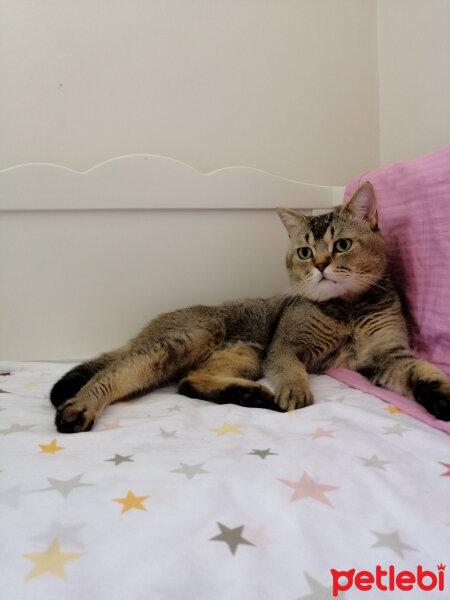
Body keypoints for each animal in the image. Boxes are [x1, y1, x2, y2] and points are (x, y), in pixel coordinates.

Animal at [50, 183, 450, 432]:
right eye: (305, 252)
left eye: (343, 245)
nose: (321, 265)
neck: (347, 310)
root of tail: (148, 328)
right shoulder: (284, 347)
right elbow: (291, 370)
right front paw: (295, 391)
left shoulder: (387, 355)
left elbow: (423, 374)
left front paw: (442, 397)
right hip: (190, 339)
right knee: (116, 372)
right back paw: (80, 407)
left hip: (243, 354)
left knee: (188, 382)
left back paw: (248, 394)